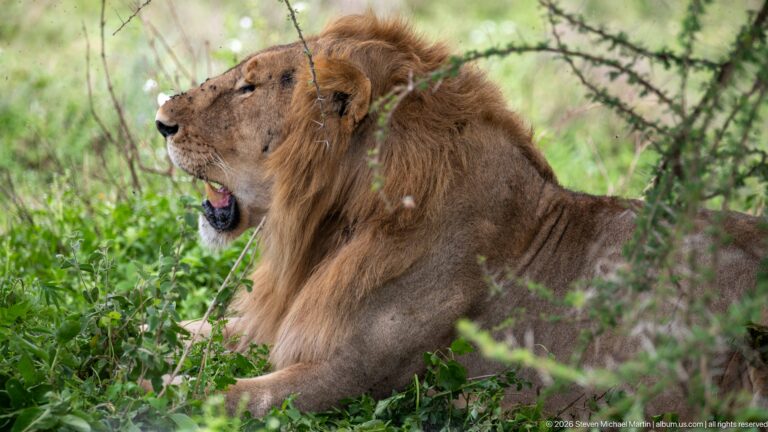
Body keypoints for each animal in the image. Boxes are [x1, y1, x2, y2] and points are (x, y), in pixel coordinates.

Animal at [155, 14, 767, 419]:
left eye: (248, 86)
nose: (160, 121)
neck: (337, 224)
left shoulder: (357, 376)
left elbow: (230, 394)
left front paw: (160, 389)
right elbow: (183, 329)